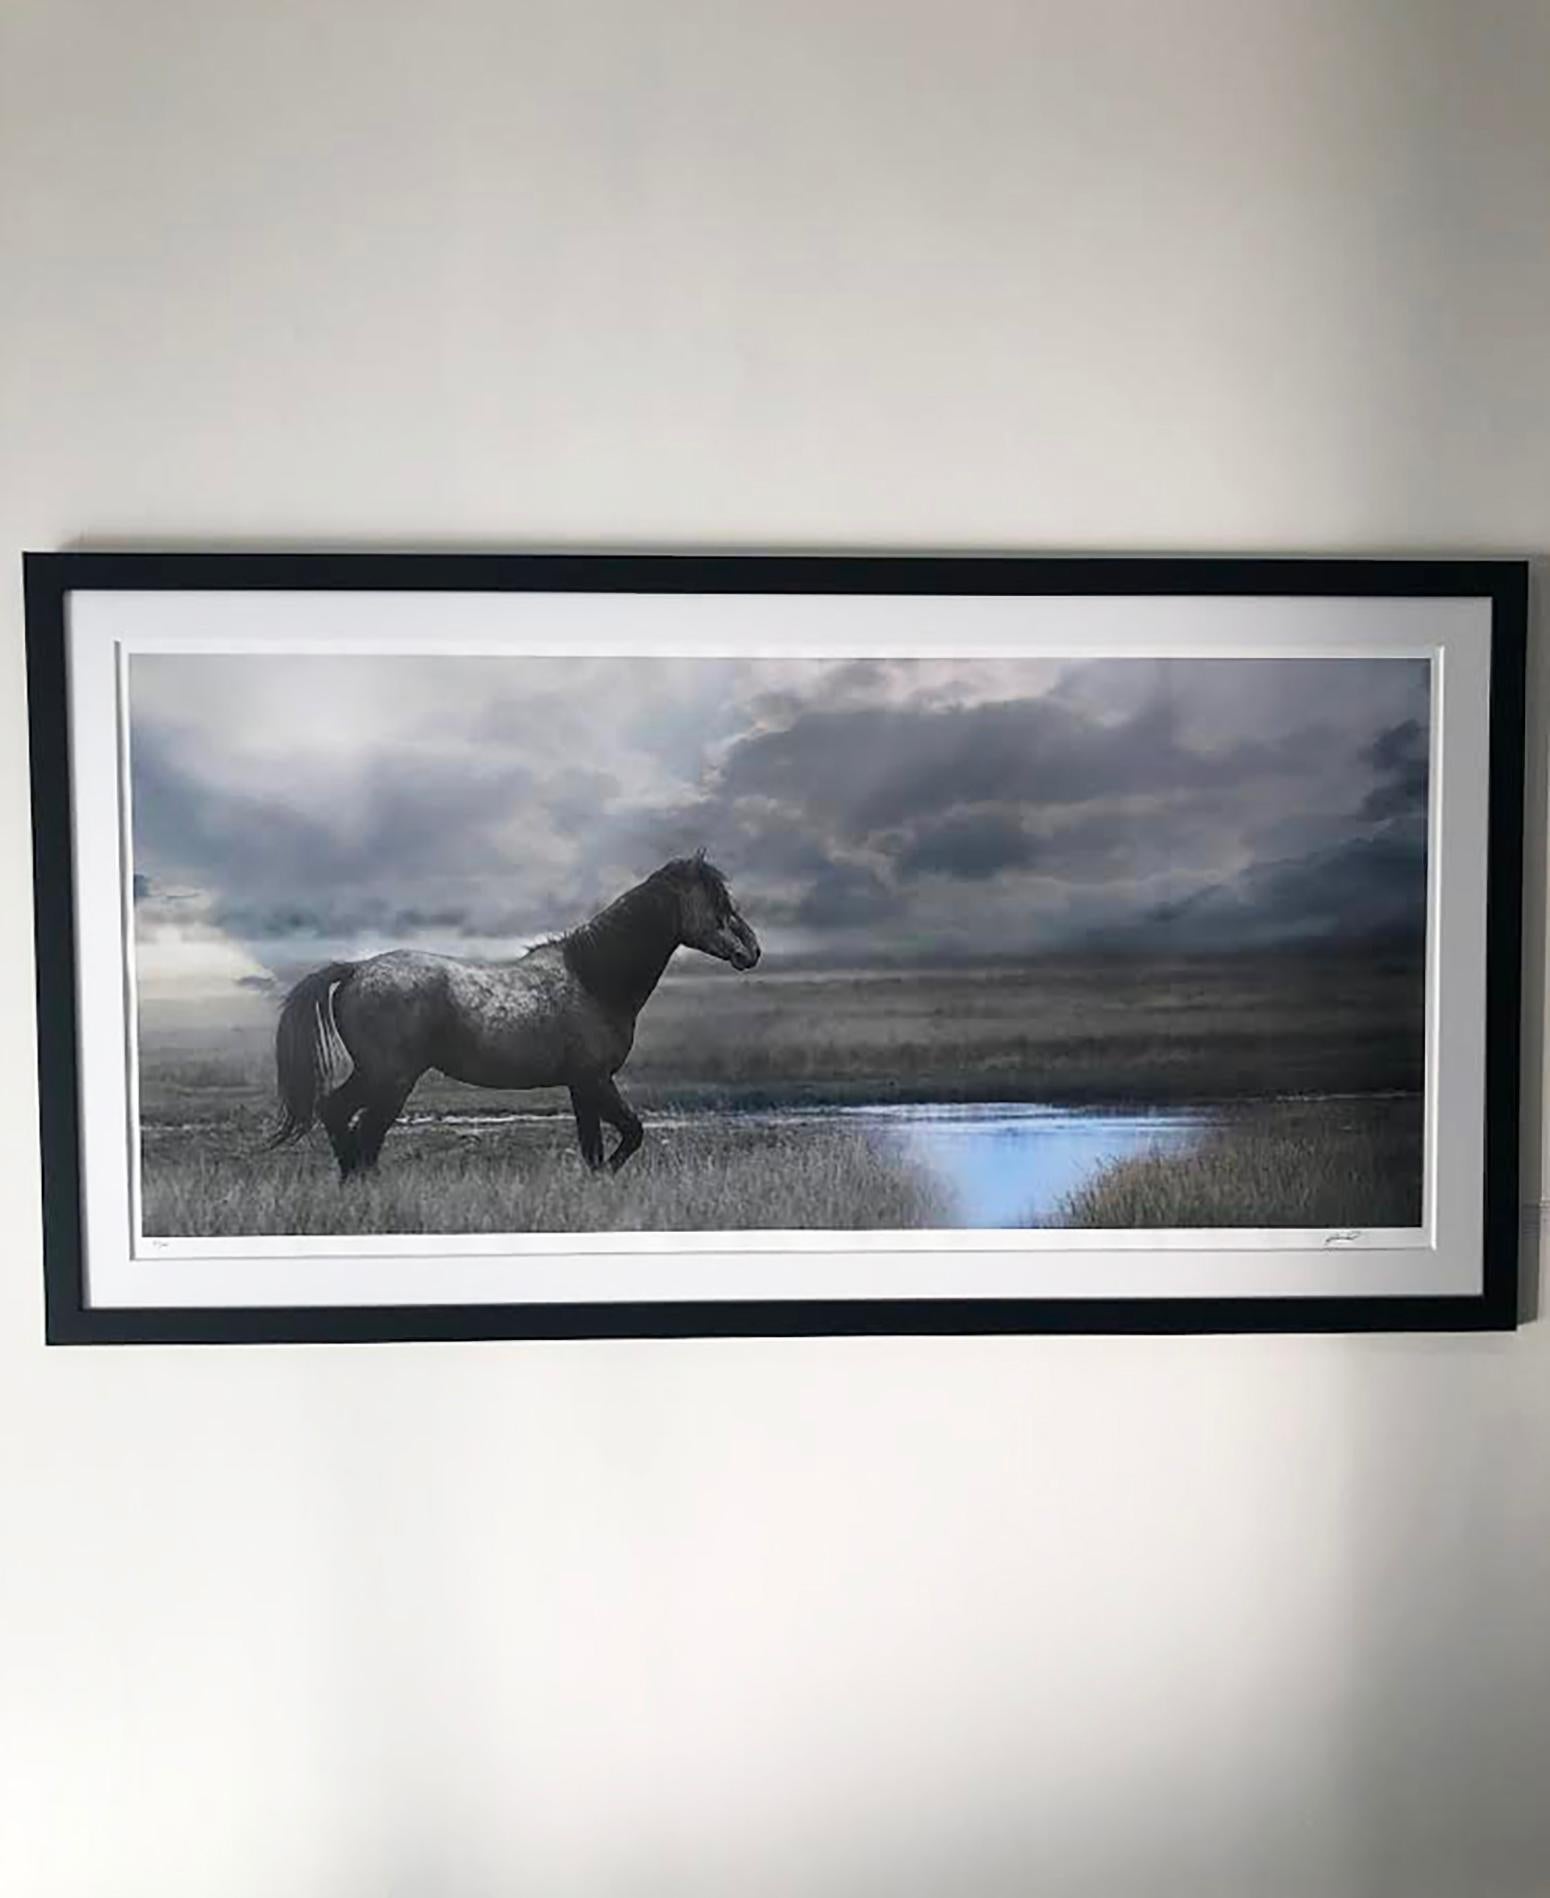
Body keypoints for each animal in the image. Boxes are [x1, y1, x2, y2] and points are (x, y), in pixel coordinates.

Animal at [267, 857, 762, 1176]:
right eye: (717, 902)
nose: (752, 951)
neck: (594, 978)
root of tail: (356, 970)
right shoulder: (596, 1080)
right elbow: (632, 1134)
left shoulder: (582, 1087)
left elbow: (593, 1148)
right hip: (391, 1078)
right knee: (364, 1131)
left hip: (378, 1075)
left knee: (340, 1116)